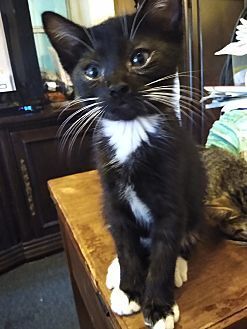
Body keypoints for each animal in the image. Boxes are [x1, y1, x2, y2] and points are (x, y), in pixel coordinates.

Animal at [42, 1, 206, 326]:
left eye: (139, 57)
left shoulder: (171, 193)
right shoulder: (112, 194)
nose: (116, 87)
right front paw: (129, 290)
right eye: (92, 71)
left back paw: (180, 264)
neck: (130, 131)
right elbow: (125, 242)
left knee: (181, 235)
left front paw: (158, 306)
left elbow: (164, 249)